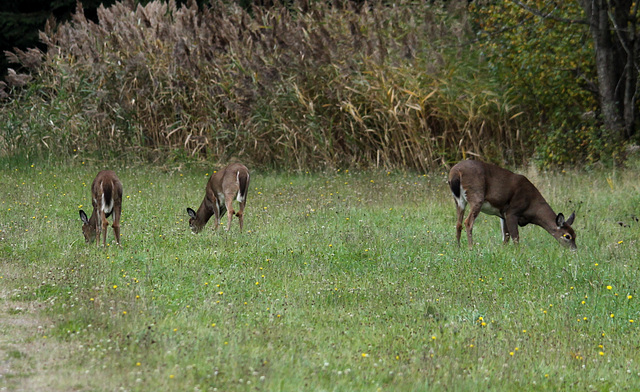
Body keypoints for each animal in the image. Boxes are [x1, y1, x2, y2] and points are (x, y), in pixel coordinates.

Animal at [448, 160, 576, 250]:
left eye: (575, 234)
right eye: (567, 236)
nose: (574, 250)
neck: (531, 207)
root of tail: (455, 172)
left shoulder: (503, 214)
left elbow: (506, 236)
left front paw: (502, 250)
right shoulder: (512, 211)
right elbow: (515, 237)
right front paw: (518, 252)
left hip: (458, 200)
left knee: (458, 223)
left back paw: (458, 247)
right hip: (476, 195)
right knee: (468, 222)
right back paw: (471, 247)